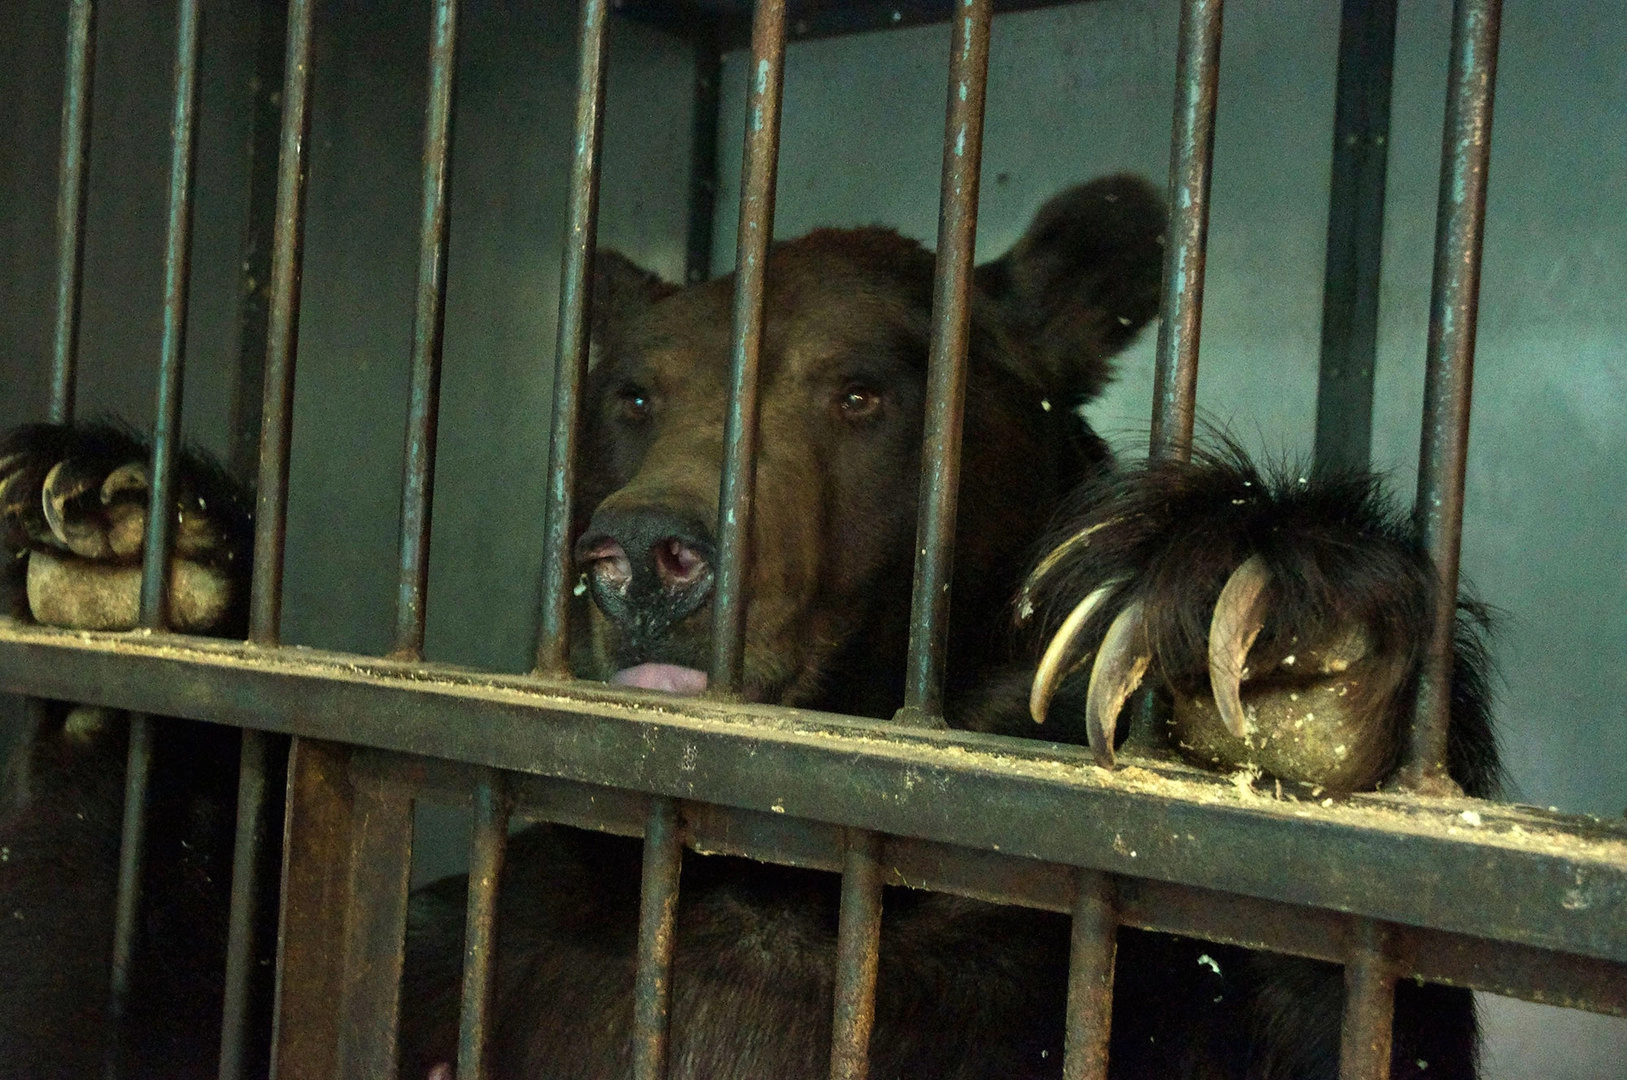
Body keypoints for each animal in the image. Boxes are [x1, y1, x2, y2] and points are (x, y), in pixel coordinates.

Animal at [0, 172, 1496, 1079]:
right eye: (633, 394)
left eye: (859, 391)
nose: (645, 557)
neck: (769, 871)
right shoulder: (491, 935)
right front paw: (109, 526)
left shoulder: (1073, 960)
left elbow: (1335, 997)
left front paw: (1272, 620)